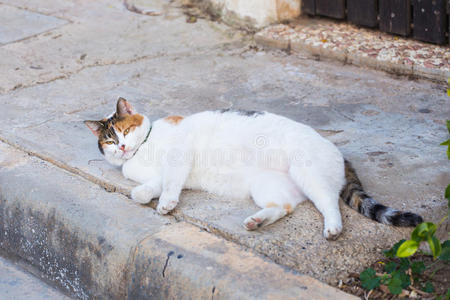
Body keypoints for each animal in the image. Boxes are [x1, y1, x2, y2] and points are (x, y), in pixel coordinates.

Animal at [85, 98, 426, 239]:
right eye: (110, 141)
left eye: (125, 131)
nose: (123, 148)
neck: (143, 150)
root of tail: (339, 153)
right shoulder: (169, 173)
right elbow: (154, 185)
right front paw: (145, 195)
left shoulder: (178, 158)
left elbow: (169, 183)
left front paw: (166, 203)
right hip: (266, 186)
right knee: (284, 207)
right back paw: (256, 221)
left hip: (309, 174)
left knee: (330, 204)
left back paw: (332, 229)